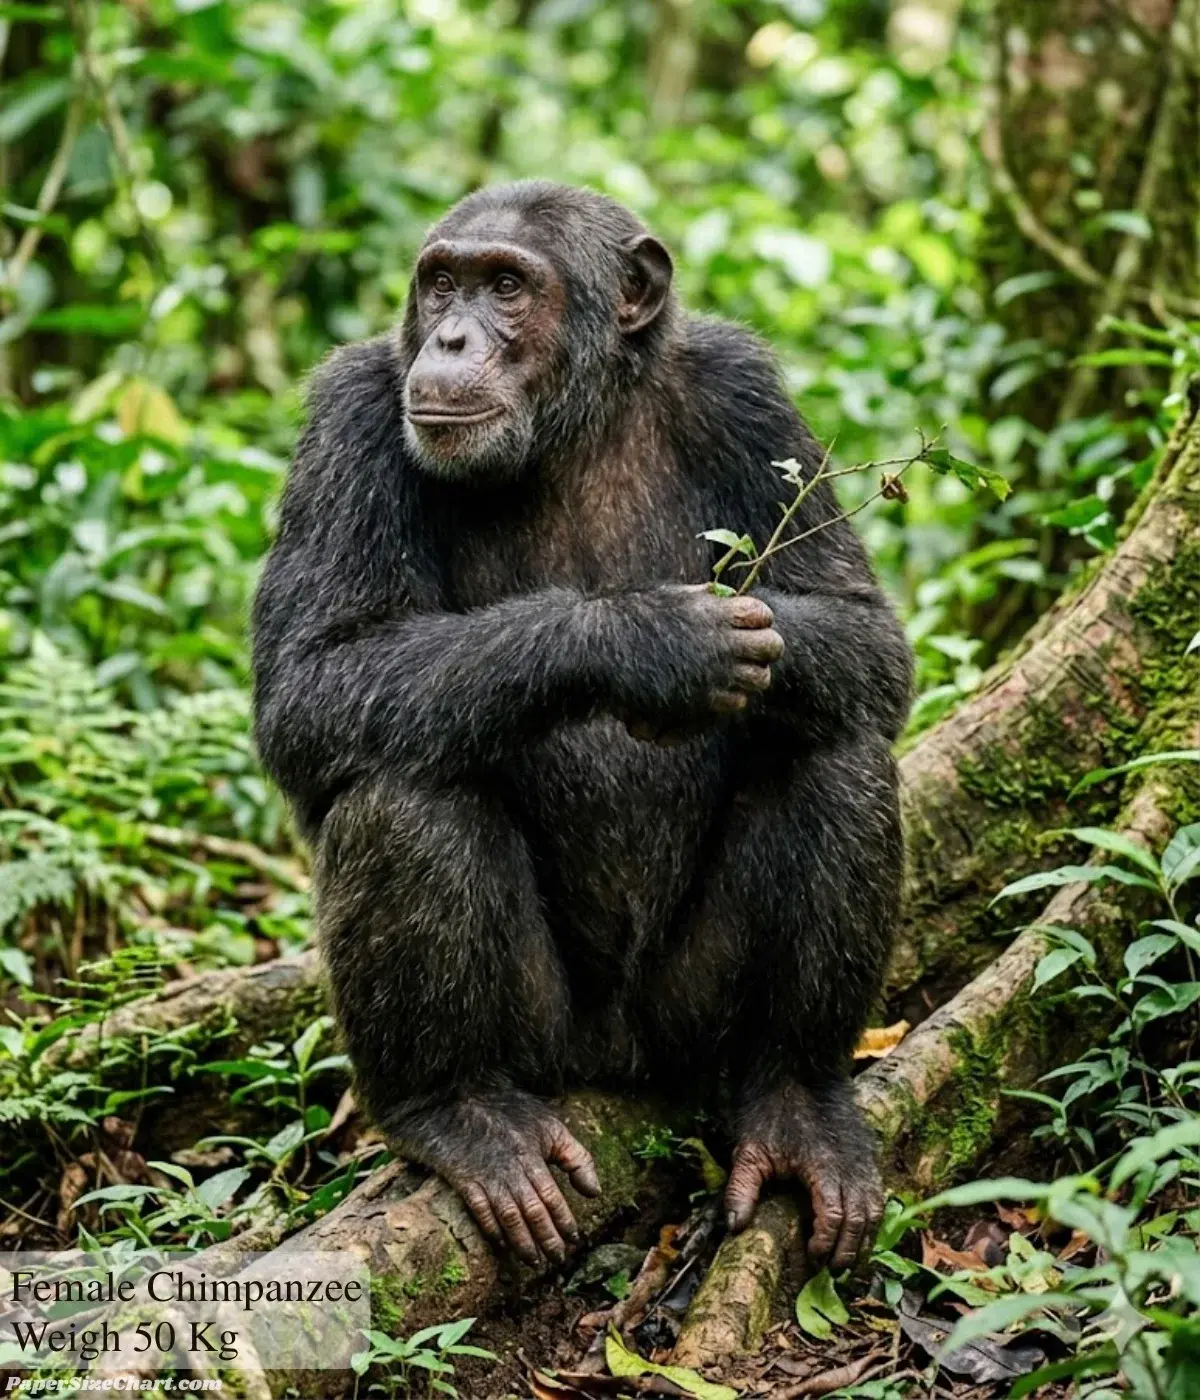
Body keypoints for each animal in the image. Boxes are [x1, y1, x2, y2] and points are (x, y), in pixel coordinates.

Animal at [252, 181, 912, 1274]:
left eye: (508, 286)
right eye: (442, 281)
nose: (453, 337)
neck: (576, 425)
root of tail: (617, 1057)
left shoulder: (748, 392)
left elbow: (865, 630)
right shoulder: (346, 420)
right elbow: (309, 681)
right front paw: (646, 640)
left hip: (691, 1013)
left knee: (838, 752)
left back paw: (797, 1101)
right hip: (546, 1039)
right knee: (404, 794)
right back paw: (457, 1112)